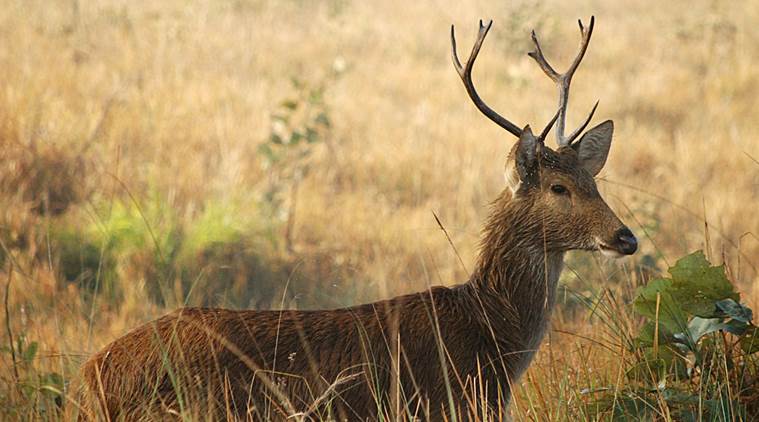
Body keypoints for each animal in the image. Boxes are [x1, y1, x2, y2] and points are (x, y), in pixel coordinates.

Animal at [77, 17, 636, 422]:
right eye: (558, 188)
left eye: (594, 182)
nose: (625, 237)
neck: (488, 336)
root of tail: (90, 375)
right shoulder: (444, 404)